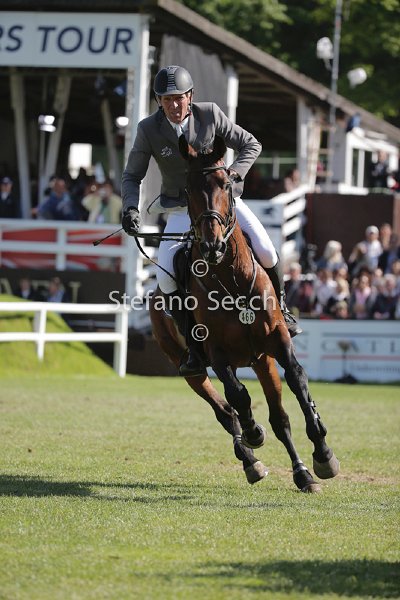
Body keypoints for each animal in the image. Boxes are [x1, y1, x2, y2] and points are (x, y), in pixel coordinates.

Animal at [149, 135, 339, 493]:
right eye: (188, 188)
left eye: (227, 184)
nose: (211, 245)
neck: (231, 277)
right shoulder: (217, 353)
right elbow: (238, 397)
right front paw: (254, 433)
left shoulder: (277, 341)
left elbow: (298, 380)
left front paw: (323, 453)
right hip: (192, 368)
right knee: (225, 411)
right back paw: (251, 459)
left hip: (261, 360)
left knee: (279, 419)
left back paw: (302, 473)